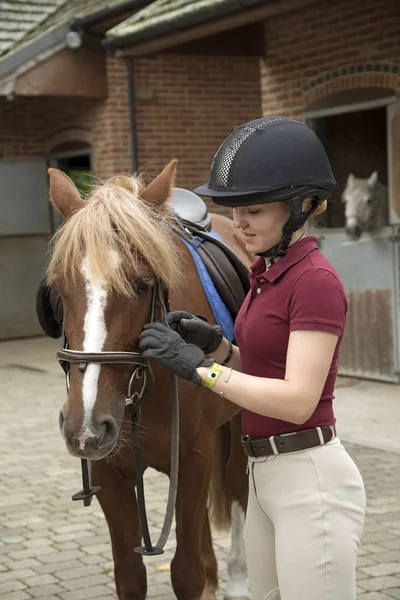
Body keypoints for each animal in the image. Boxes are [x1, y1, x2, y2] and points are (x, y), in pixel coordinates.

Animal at [47, 162, 253, 600]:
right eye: (57, 289)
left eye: (142, 284)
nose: (84, 424)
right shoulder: (110, 473)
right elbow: (130, 575)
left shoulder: (193, 461)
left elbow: (187, 573)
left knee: (237, 487)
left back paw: (238, 579)